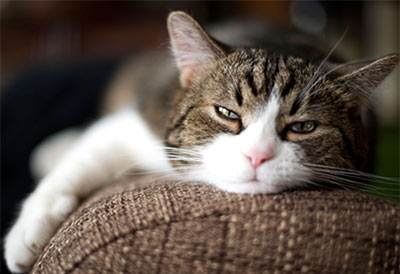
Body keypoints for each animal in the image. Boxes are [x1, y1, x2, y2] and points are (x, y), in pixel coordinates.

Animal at [3, 10, 400, 272]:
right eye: (226, 113)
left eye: (303, 127)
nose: (257, 156)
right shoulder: (142, 119)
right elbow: (87, 155)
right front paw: (28, 231)